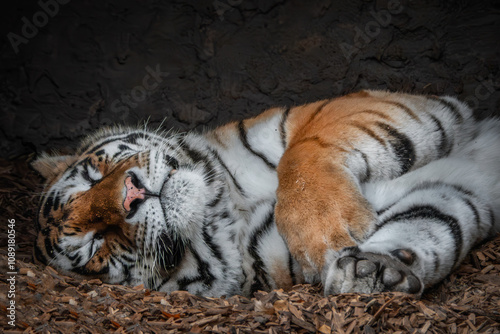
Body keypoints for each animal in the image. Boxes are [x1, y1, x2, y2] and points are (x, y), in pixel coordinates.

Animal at [33, 90, 498, 296]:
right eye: (94, 247)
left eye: (94, 176)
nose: (132, 195)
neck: (225, 208)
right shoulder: (454, 191)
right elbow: (432, 222)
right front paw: (371, 268)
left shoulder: (349, 106)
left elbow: (303, 153)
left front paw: (328, 228)